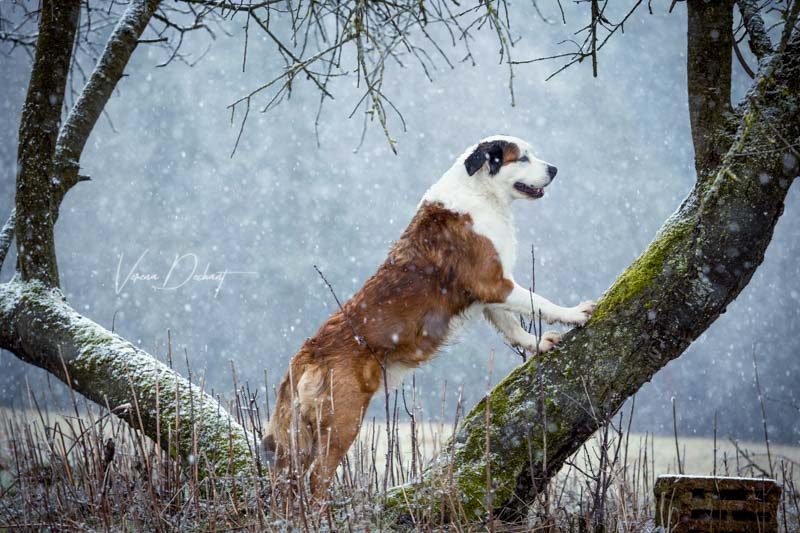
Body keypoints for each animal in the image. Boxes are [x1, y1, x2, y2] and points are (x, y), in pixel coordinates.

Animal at [266, 134, 596, 498]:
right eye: (521, 158)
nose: (554, 169)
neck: (481, 192)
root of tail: (307, 354)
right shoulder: (497, 285)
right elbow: (539, 301)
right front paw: (574, 314)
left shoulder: (490, 297)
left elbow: (512, 327)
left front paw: (538, 343)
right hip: (343, 421)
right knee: (315, 478)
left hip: (300, 435)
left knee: (286, 478)